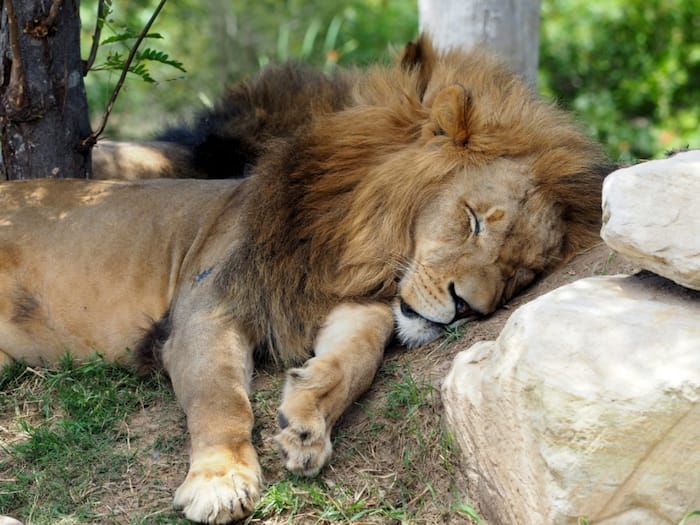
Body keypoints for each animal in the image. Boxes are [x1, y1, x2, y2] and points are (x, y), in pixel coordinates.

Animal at [0, 36, 610, 523]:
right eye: (473, 220)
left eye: (520, 275)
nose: (467, 308)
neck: (351, 252)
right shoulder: (208, 310)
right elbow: (221, 399)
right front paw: (220, 481)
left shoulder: (356, 307)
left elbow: (356, 359)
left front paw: (306, 422)